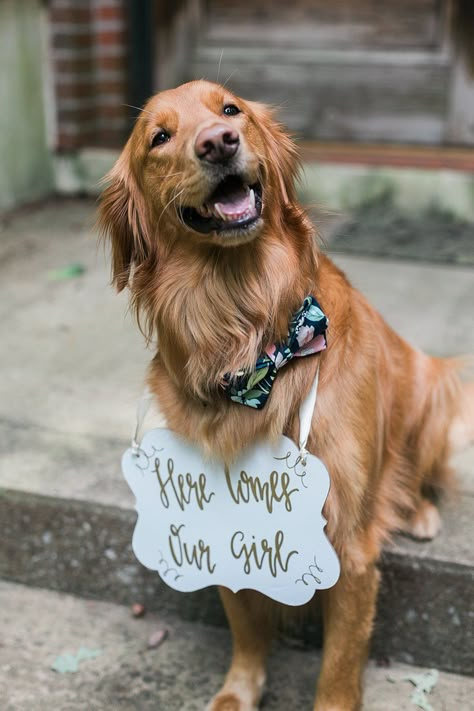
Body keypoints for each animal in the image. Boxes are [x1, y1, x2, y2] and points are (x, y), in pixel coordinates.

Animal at [98, 80, 472, 708]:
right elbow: (246, 628)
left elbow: (339, 665)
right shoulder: (222, 528)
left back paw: (419, 511)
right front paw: (238, 690)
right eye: (159, 137)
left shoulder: (349, 544)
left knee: (419, 470)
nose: (219, 142)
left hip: (433, 385)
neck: (247, 337)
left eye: (230, 110)